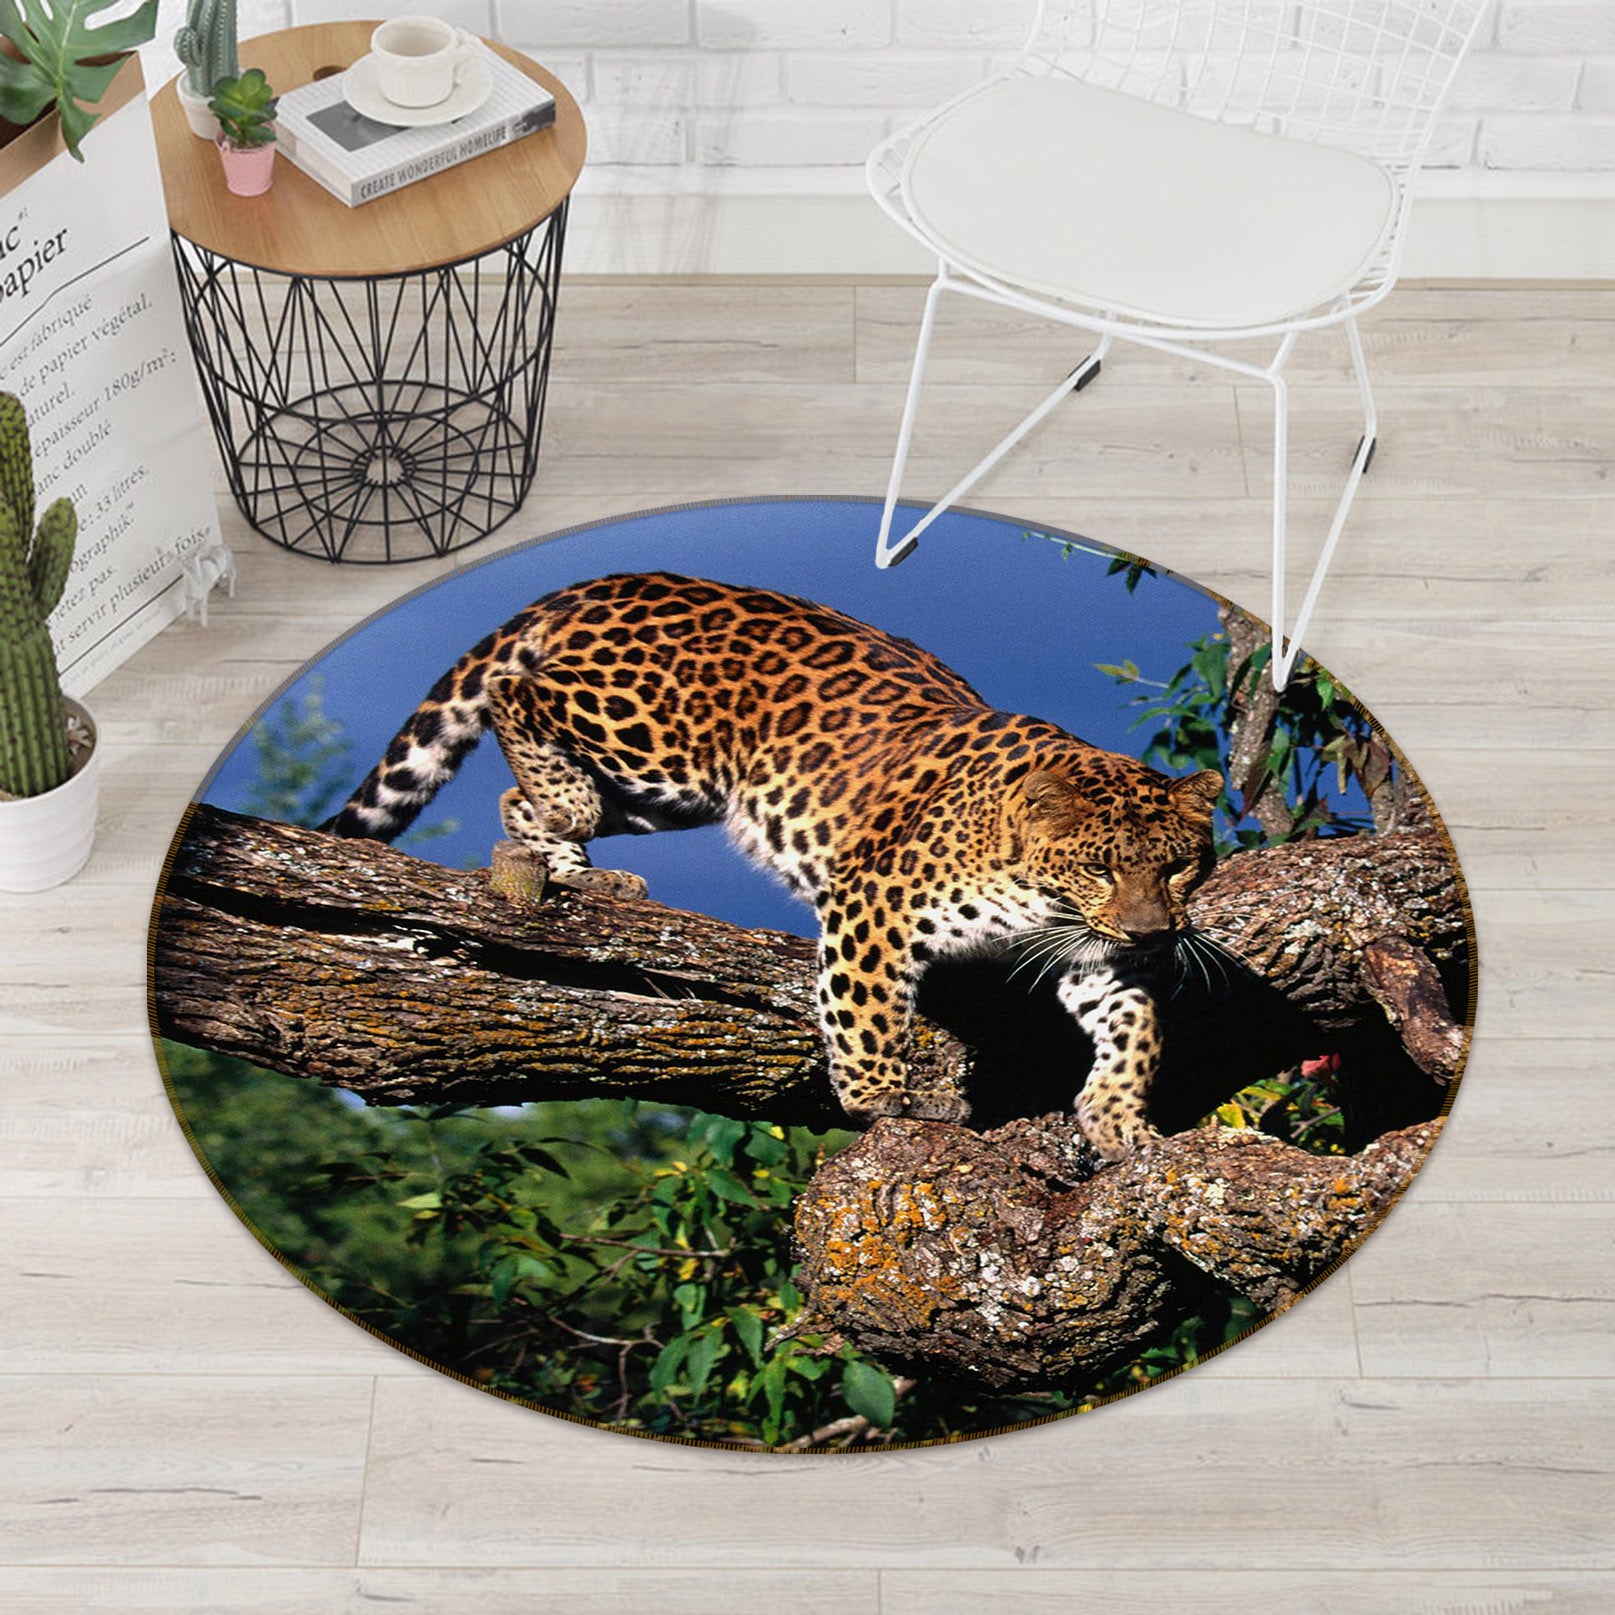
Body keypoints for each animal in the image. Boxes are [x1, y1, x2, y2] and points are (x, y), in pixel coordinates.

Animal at [325, 570, 1223, 1160]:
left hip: (667, 793)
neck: (1040, 892)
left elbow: (1134, 1030)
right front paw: (884, 1096)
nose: (1153, 932)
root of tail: (604, 579)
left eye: (1179, 867)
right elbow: (866, 1008)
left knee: (517, 803)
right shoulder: (875, 900)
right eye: (1100, 868)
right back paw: (566, 806)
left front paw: (1120, 1122)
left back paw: (579, 870)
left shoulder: (1099, 958)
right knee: (517, 692)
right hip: (647, 732)